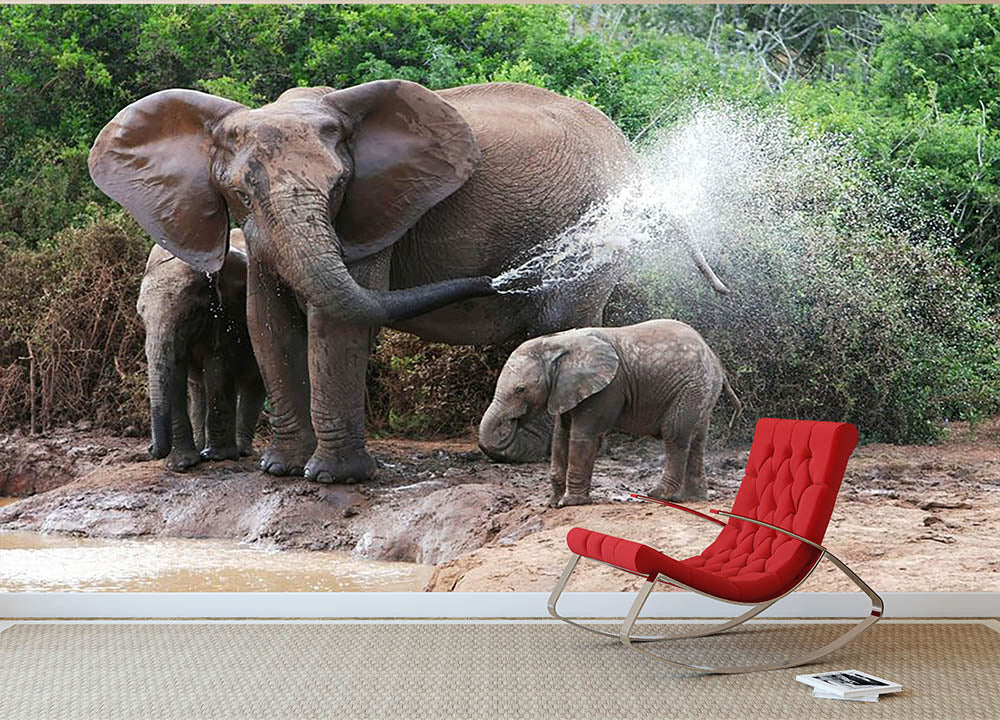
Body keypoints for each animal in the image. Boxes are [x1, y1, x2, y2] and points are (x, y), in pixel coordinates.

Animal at [137, 229, 266, 471]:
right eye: (141, 315)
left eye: (190, 314)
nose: (150, 448)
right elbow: (176, 373)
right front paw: (181, 465)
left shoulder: (227, 312)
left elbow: (217, 365)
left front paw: (218, 457)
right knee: (198, 388)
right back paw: (201, 447)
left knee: (254, 383)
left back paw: (241, 451)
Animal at [478, 319, 742, 506]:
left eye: (520, 390)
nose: (512, 423)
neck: (559, 343)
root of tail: (715, 359)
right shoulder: (566, 390)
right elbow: (560, 437)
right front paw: (552, 503)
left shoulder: (606, 389)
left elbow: (583, 437)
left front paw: (570, 503)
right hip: (702, 390)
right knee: (696, 439)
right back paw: (692, 498)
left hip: (691, 386)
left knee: (675, 434)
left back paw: (659, 495)